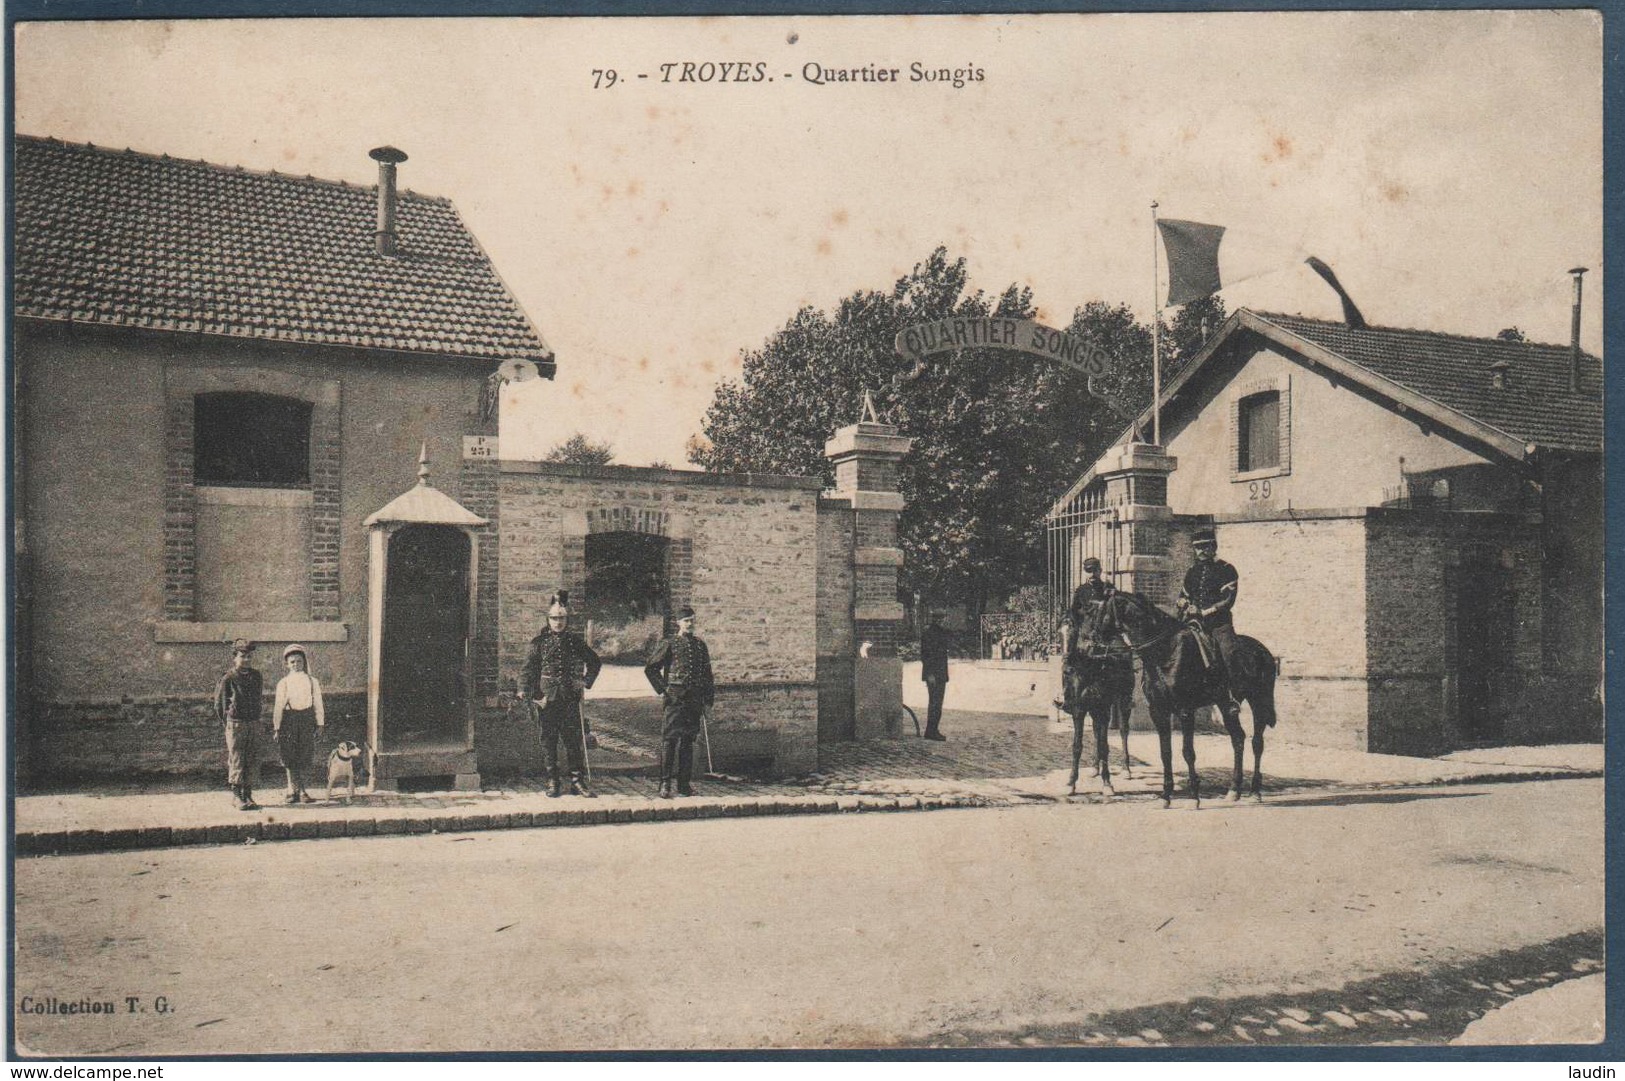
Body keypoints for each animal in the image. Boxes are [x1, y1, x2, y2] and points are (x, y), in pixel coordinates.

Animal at [1092, 585, 1280, 806]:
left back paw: (1255, 791)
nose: (1093, 643)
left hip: (1259, 701)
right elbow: (1166, 752)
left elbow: (1188, 752)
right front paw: (1166, 796)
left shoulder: (1185, 710)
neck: (1165, 652)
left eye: (1102, 612)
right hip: (1226, 705)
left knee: (1257, 742)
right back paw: (1234, 790)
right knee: (1238, 738)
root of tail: (1264, 652)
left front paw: (1194, 797)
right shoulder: (1158, 711)